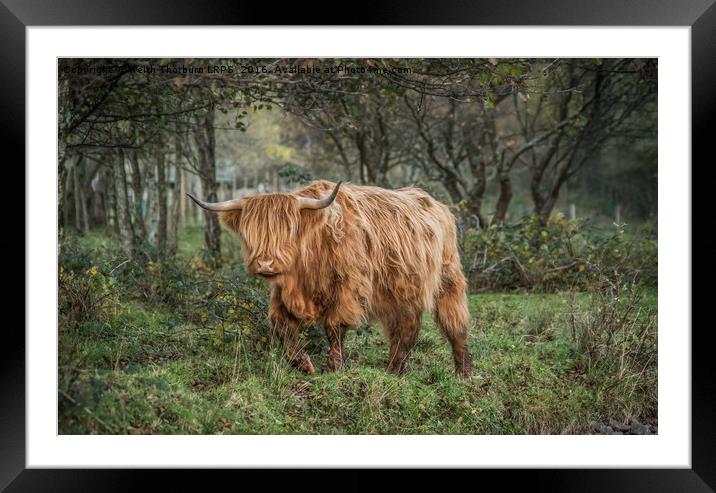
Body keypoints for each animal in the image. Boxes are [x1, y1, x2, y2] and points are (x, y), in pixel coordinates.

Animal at [187, 181, 472, 376]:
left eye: (289, 229)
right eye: (250, 232)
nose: (265, 263)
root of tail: (436, 204)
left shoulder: (348, 288)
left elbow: (335, 326)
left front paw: (335, 366)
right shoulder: (281, 293)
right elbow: (281, 326)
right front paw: (304, 365)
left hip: (448, 279)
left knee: (455, 324)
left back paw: (464, 373)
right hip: (401, 289)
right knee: (406, 328)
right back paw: (394, 370)